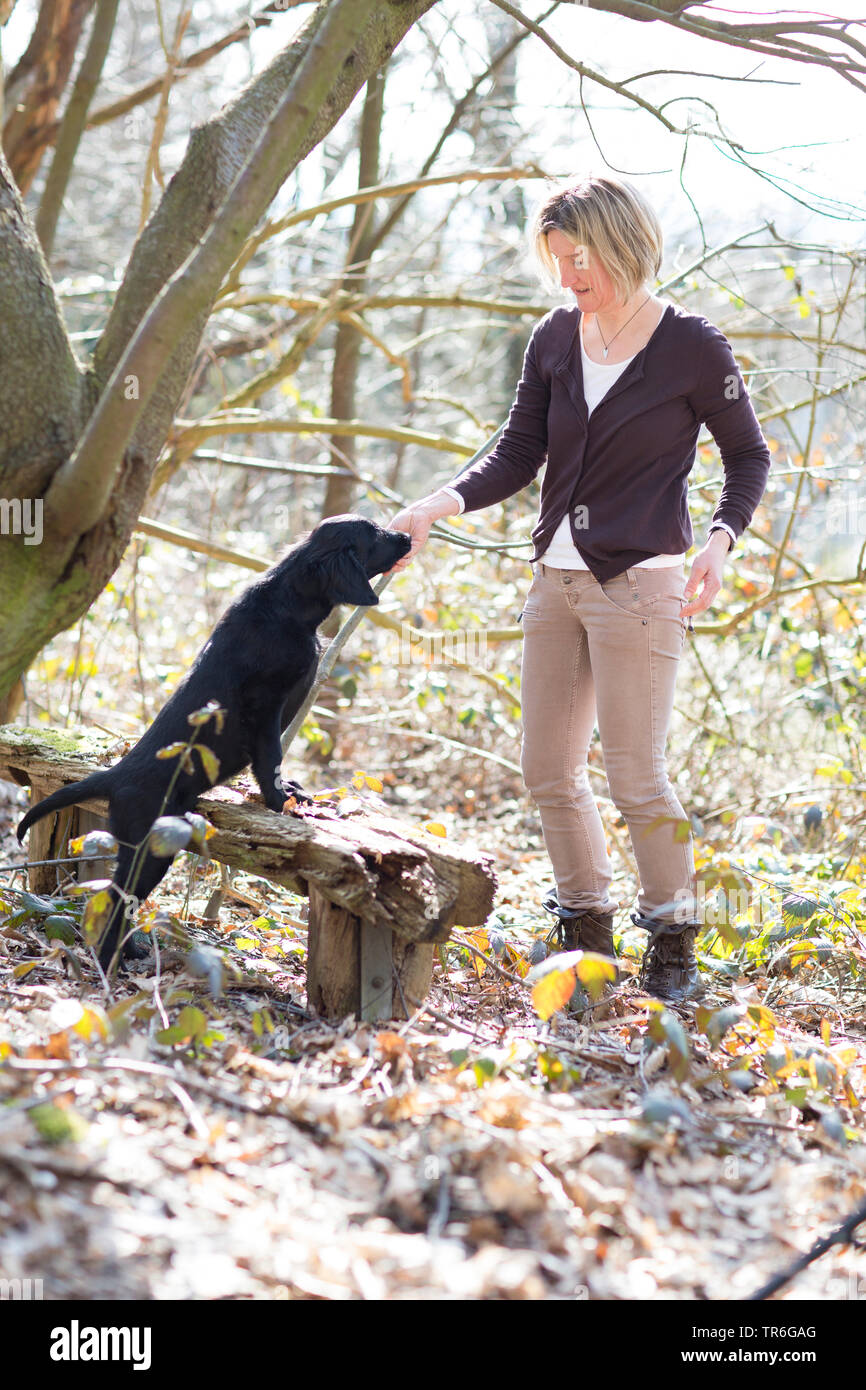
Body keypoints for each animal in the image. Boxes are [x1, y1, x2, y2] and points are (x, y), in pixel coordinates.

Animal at [18, 517, 411, 973]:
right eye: (375, 533)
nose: (408, 536)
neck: (289, 608)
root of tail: (116, 777)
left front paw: (290, 792)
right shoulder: (265, 705)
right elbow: (271, 757)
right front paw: (281, 801)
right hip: (148, 847)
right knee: (117, 900)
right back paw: (112, 962)